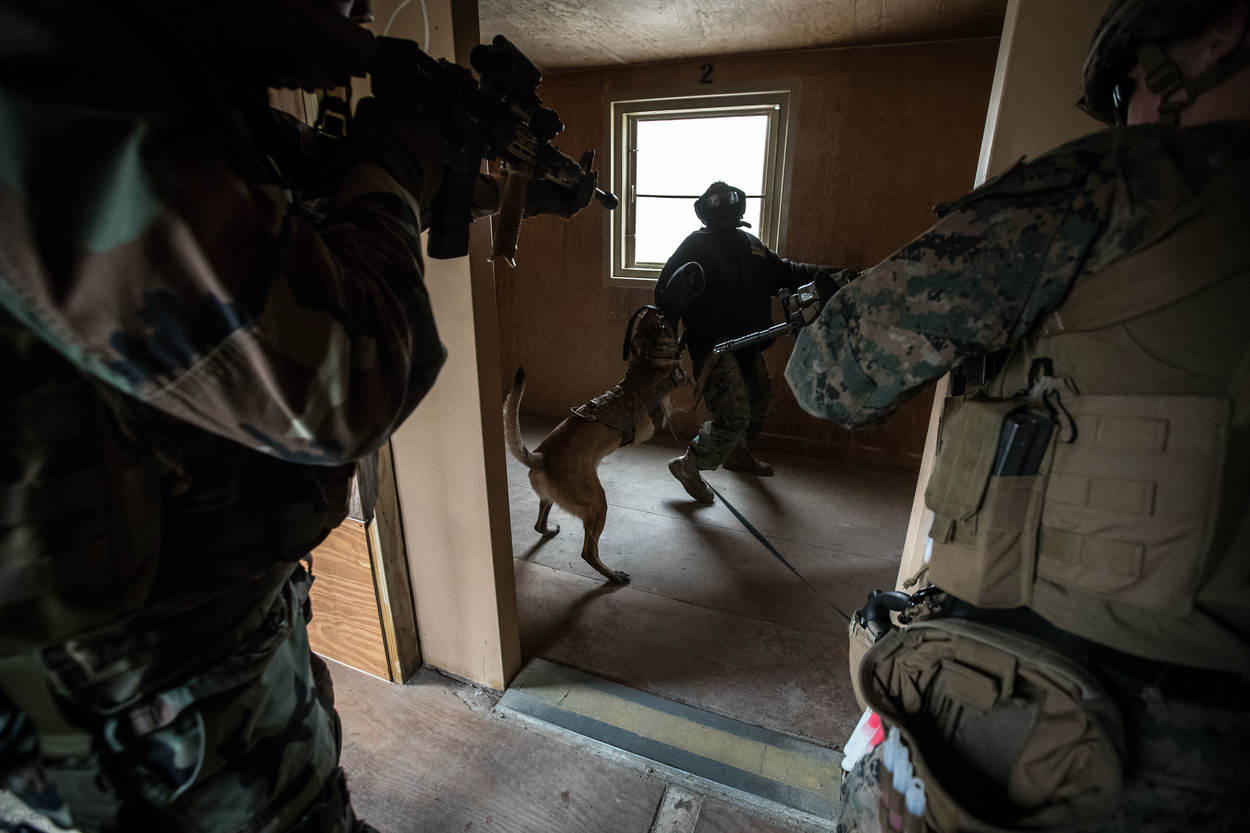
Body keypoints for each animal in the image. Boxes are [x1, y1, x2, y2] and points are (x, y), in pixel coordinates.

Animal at [503, 306, 689, 584]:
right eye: (660, 324)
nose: (656, 309)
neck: (649, 361)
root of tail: (541, 457)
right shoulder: (686, 395)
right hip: (598, 504)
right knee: (588, 552)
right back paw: (612, 575)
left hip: (555, 499)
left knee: (540, 522)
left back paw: (549, 530)